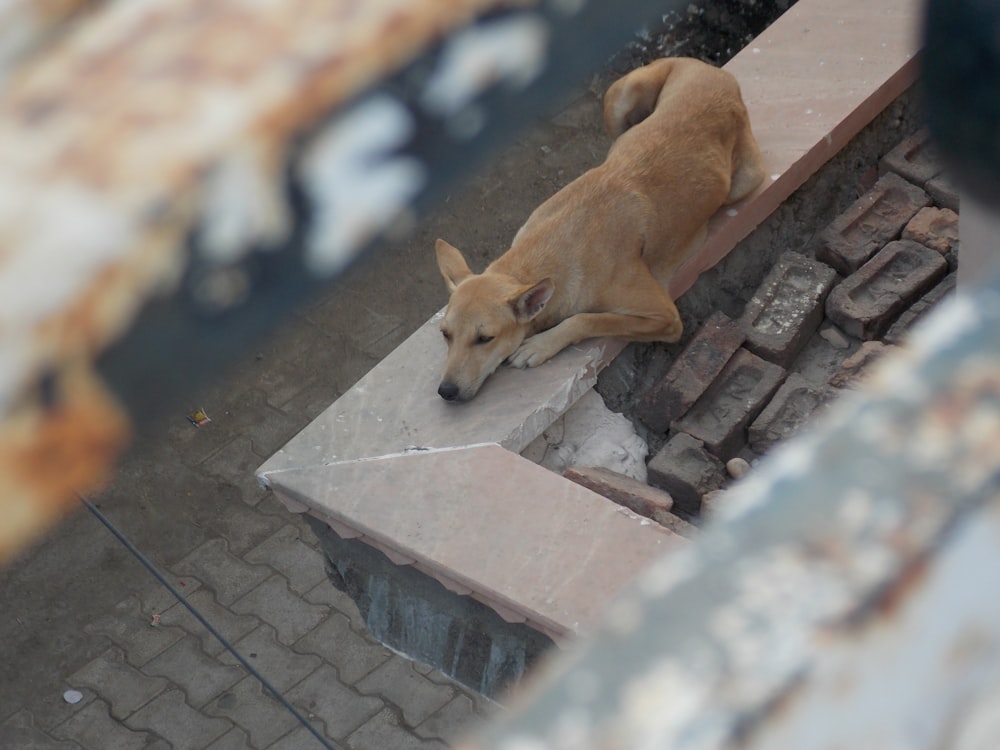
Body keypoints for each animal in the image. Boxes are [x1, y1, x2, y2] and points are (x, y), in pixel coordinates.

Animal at [434, 57, 760, 406]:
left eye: (485, 338)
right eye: (445, 334)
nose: (446, 391)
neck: (552, 248)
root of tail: (713, 70)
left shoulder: (667, 317)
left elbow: (588, 318)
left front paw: (541, 345)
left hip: (743, 183)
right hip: (619, 99)